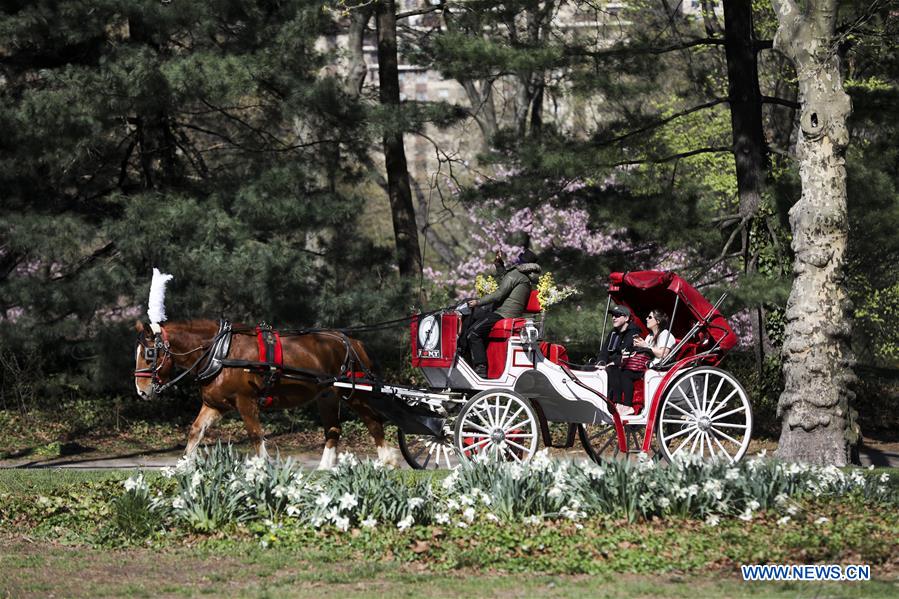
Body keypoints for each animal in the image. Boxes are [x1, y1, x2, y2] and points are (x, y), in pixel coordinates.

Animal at [134, 318, 400, 468]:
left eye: (149, 353)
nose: (141, 391)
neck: (220, 352)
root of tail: (352, 342)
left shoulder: (246, 401)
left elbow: (255, 435)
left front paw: (263, 467)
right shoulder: (215, 405)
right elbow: (195, 431)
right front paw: (183, 466)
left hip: (355, 394)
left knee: (374, 422)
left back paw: (386, 461)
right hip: (328, 395)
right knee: (333, 429)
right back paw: (325, 468)